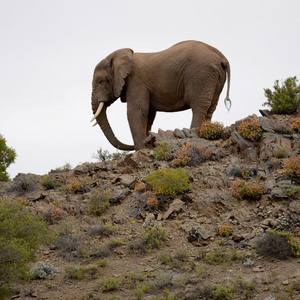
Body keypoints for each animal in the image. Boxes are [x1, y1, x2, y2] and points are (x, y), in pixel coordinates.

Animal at [90, 40, 231, 150]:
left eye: (100, 81)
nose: (132, 147)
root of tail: (222, 58)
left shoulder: (136, 82)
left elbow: (136, 112)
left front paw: (141, 149)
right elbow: (148, 114)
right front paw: (146, 144)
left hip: (201, 75)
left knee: (199, 107)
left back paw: (193, 134)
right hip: (214, 79)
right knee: (210, 109)